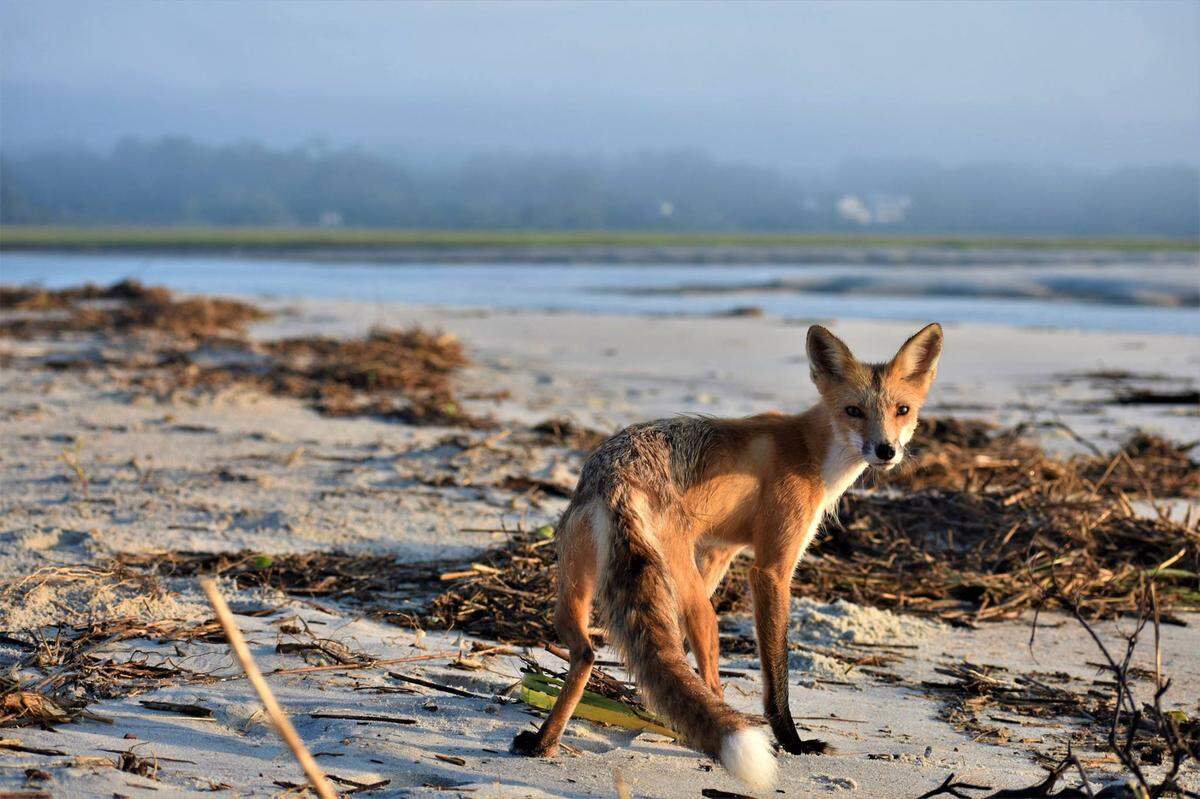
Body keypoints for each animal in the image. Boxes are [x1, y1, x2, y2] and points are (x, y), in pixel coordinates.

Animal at [509, 322, 943, 789]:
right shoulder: (770, 569)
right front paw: (793, 742)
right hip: (698, 603)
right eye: (853, 411)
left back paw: (545, 743)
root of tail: (616, 476)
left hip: (581, 583)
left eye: (902, 410)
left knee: (587, 653)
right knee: (709, 676)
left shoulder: (721, 550)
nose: (885, 450)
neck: (811, 450)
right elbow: (776, 670)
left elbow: (677, 660)